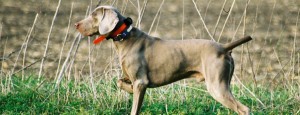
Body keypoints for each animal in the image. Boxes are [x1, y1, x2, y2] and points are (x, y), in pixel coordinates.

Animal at [74, 5, 251, 115]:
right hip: (222, 83)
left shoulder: (141, 82)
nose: (76, 24)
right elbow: (119, 82)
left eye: (94, 16)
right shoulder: (132, 78)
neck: (125, 37)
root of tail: (223, 47)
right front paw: (127, 88)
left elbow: (134, 107)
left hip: (216, 85)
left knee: (244, 109)